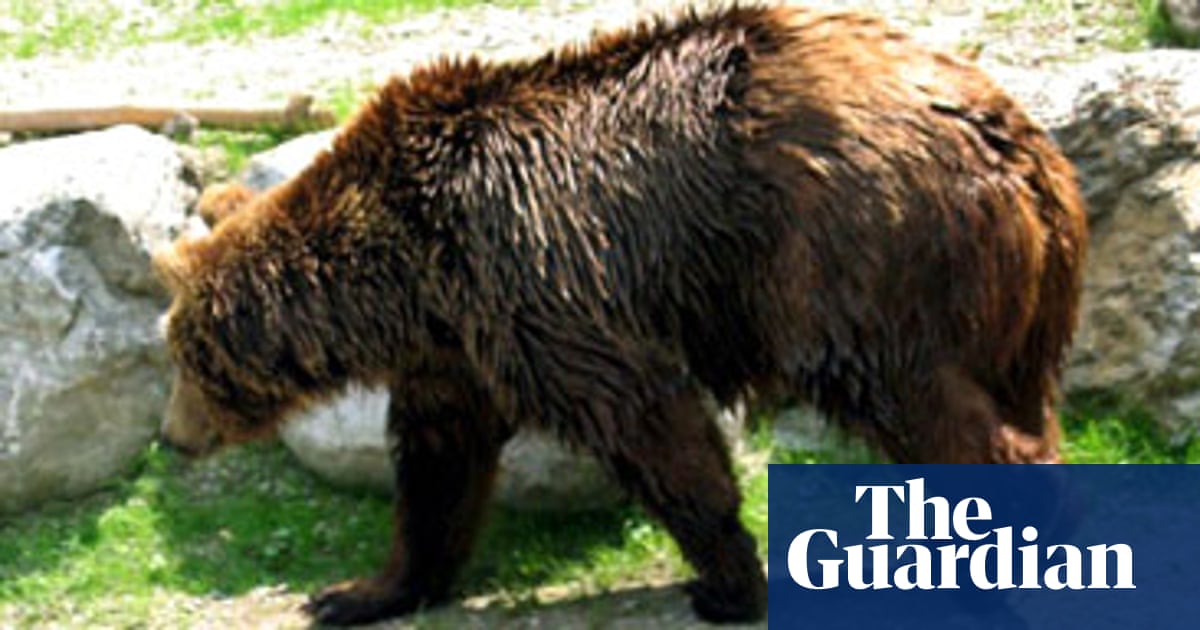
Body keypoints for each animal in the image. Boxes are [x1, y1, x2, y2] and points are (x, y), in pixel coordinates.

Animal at [154, 4, 1087, 626]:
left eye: (185, 359)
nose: (172, 437)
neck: (407, 285)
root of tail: (1013, 133)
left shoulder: (533, 281)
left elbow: (648, 423)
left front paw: (724, 581)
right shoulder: (459, 346)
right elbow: (436, 467)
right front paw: (362, 590)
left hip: (862, 258)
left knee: (920, 401)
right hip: (1014, 301)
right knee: (1016, 400)